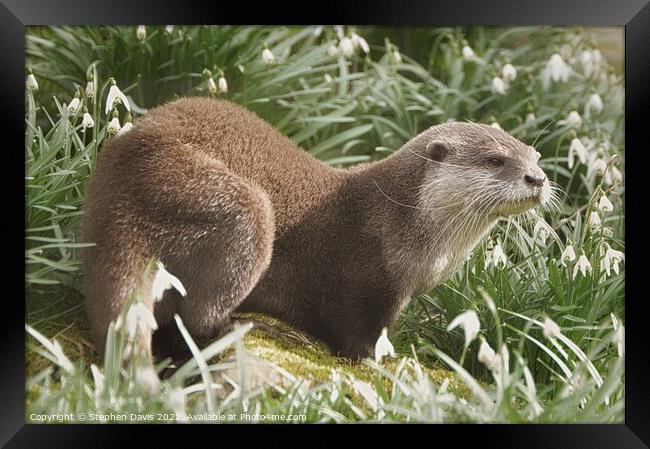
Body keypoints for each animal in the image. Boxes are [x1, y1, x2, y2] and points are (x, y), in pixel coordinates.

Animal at [79, 96, 548, 358]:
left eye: (535, 156)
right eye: (496, 160)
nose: (539, 179)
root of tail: (120, 182)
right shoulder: (363, 279)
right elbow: (353, 334)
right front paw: (387, 359)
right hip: (231, 207)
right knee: (190, 318)